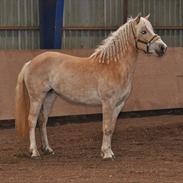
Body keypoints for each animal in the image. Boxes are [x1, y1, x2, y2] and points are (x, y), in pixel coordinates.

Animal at [15, 14, 167, 159]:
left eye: (151, 29)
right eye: (143, 31)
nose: (163, 47)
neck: (114, 66)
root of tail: (30, 62)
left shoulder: (119, 104)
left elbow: (111, 128)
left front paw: (108, 151)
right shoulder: (108, 103)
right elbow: (106, 128)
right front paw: (107, 154)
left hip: (49, 97)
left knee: (42, 121)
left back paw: (47, 149)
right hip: (37, 97)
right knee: (32, 121)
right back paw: (34, 152)